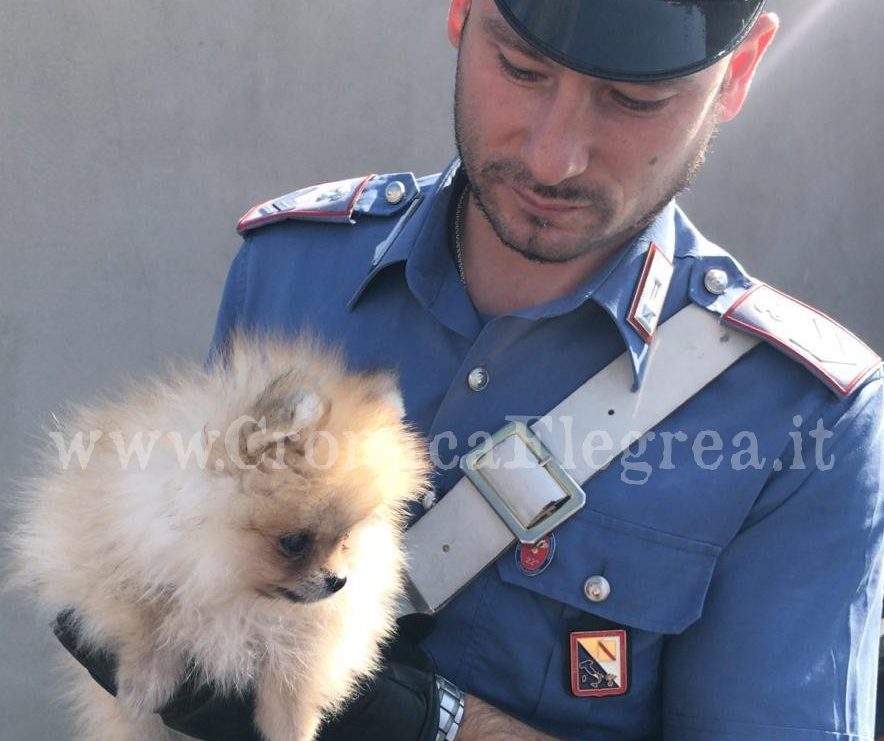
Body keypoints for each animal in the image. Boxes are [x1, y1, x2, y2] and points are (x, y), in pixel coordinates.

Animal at [6, 336, 432, 740]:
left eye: (345, 538)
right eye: (294, 542)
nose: (338, 581)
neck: (232, 589)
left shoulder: (321, 624)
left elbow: (298, 669)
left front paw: (292, 728)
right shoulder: (101, 557)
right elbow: (148, 618)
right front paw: (142, 686)